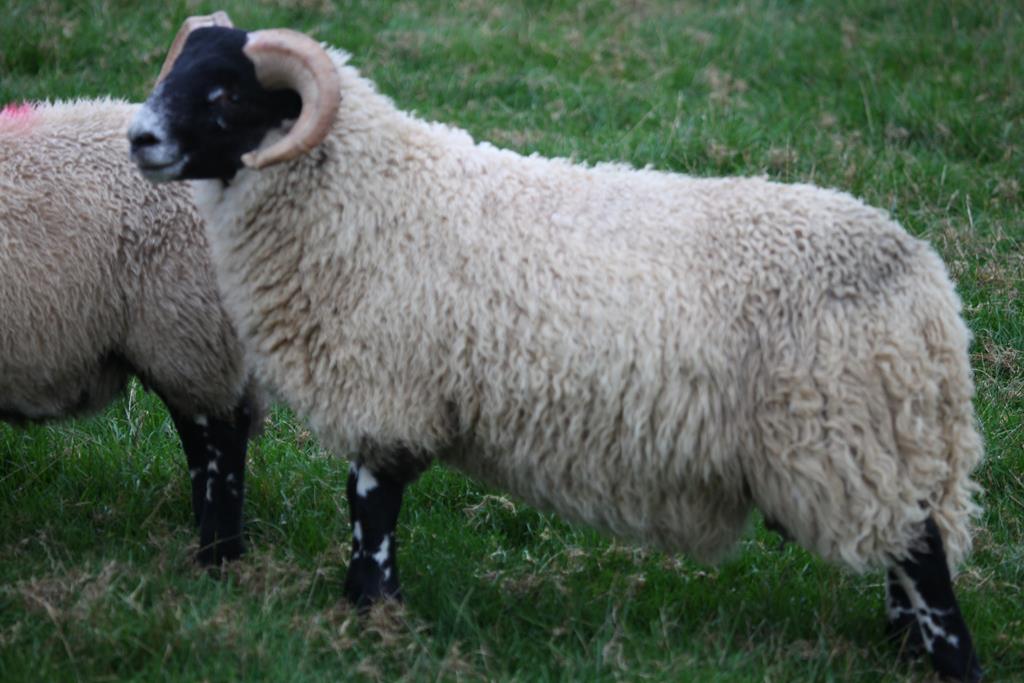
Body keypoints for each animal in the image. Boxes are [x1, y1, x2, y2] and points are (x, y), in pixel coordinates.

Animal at [128, 18, 985, 681]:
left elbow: (370, 506)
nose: (140, 136)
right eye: (177, 73)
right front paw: (369, 609)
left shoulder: (388, 390)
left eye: (227, 93)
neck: (366, 195)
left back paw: (949, 660)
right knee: (906, 560)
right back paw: (902, 650)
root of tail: (927, 286)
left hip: (847, 435)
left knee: (922, 558)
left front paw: (372, 611)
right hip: (880, 442)